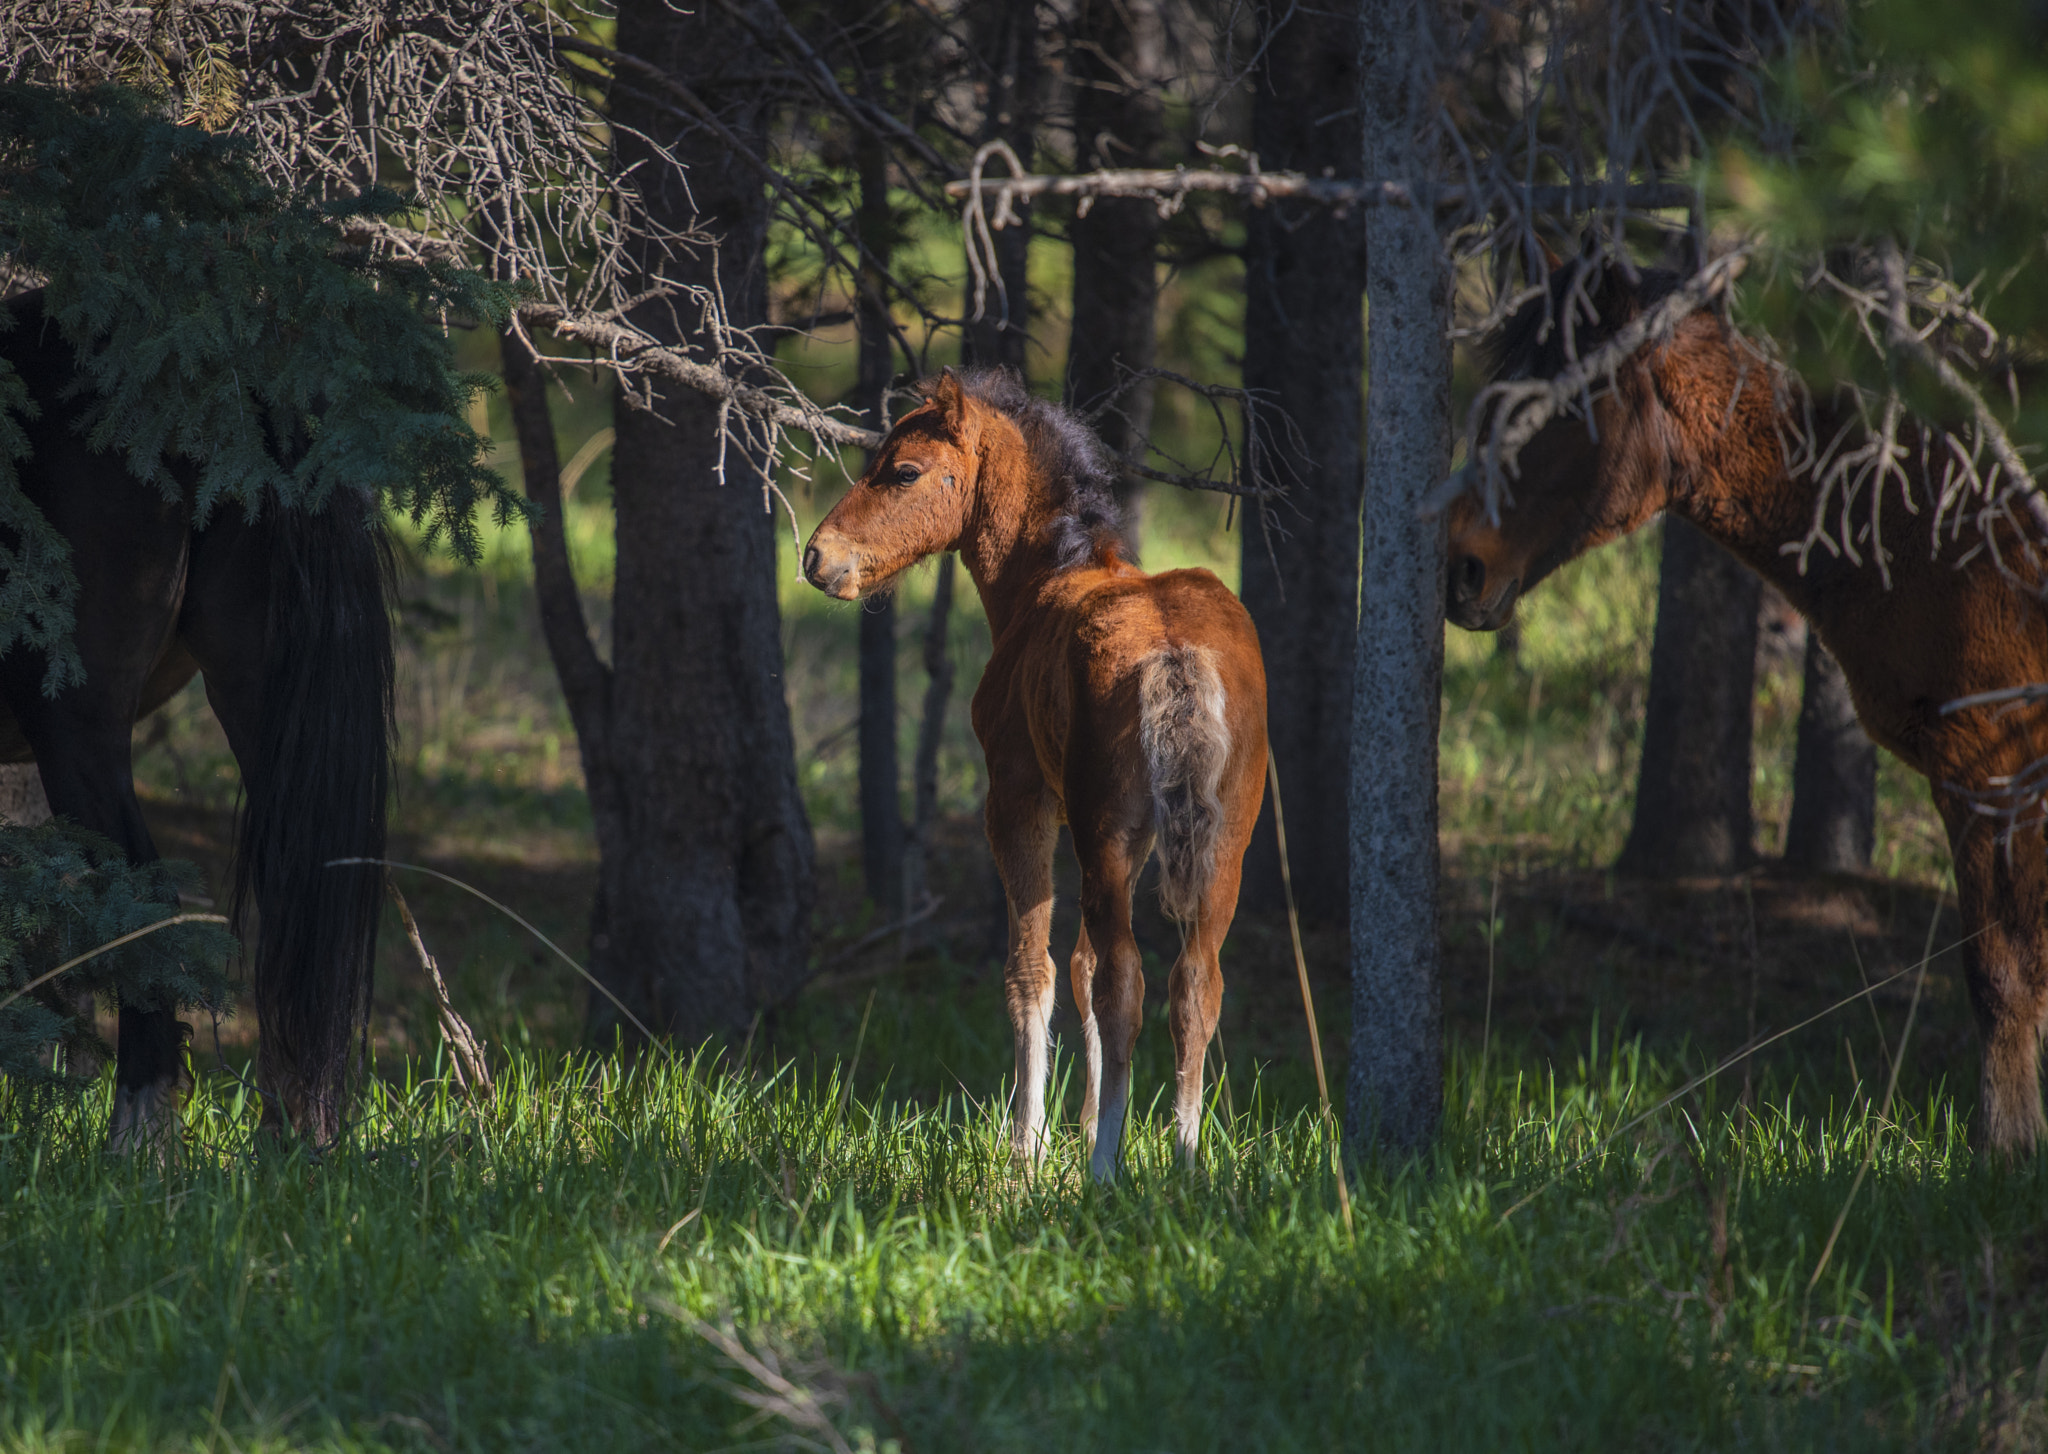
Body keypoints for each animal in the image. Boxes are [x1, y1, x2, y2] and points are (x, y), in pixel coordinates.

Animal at [3, 292, 391, 1163]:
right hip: (256, 698)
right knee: (291, 901)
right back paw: (290, 1136)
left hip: (78, 729)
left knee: (146, 901)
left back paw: (138, 1142)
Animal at [798, 366, 1261, 1187]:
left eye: (904, 471)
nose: (817, 558)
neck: (1048, 577)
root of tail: (1177, 653)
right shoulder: (1132, 833)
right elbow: (1075, 965)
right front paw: (1079, 1126)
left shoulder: (1018, 798)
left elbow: (1033, 970)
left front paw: (1031, 1144)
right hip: (1222, 837)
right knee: (1194, 982)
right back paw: (1184, 1161)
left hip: (1104, 831)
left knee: (1126, 980)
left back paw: (1109, 1169)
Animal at [1441, 264, 2048, 1163]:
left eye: (1567, 407)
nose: (1460, 570)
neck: (1939, 519)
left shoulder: (1995, 777)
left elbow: (2002, 976)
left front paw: (2006, 1152)